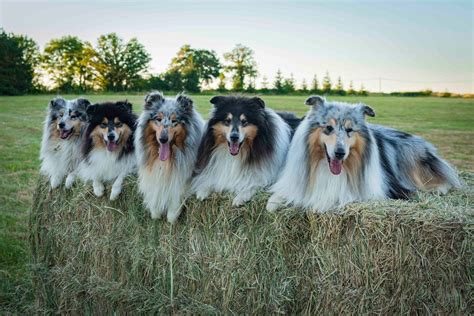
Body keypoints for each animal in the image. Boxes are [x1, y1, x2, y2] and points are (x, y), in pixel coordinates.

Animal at [135, 91, 206, 222]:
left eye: (174, 121)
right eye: (158, 119)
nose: (163, 139)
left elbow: (176, 197)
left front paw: (172, 218)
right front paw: (155, 213)